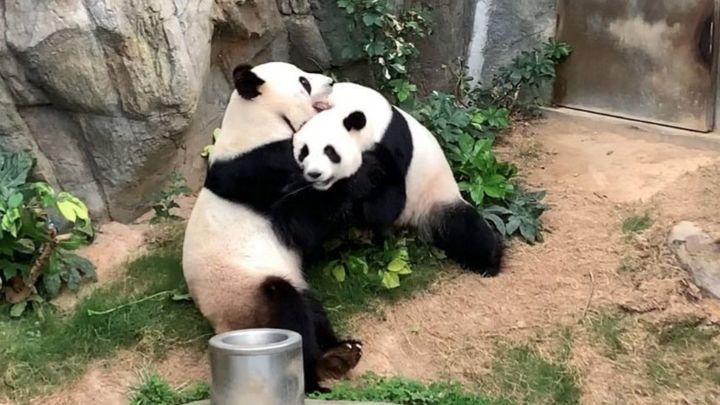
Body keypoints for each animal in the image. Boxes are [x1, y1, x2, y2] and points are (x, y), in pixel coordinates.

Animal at [182, 62, 363, 393]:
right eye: (304, 82)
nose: (331, 82)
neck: (258, 123)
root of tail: (221, 327)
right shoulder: (262, 172)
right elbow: (304, 224)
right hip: (246, 294)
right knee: (288, 310)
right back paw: (316, 374)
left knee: (311, 308)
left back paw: (341, 352)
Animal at [291, 82, 503, 275]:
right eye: (304, 152)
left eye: (330, 152)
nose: (315, 174)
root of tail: (412, 225)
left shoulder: (392, 145)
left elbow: (386, 205)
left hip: (435, 198)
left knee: (464, 228)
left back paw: (489, 263)